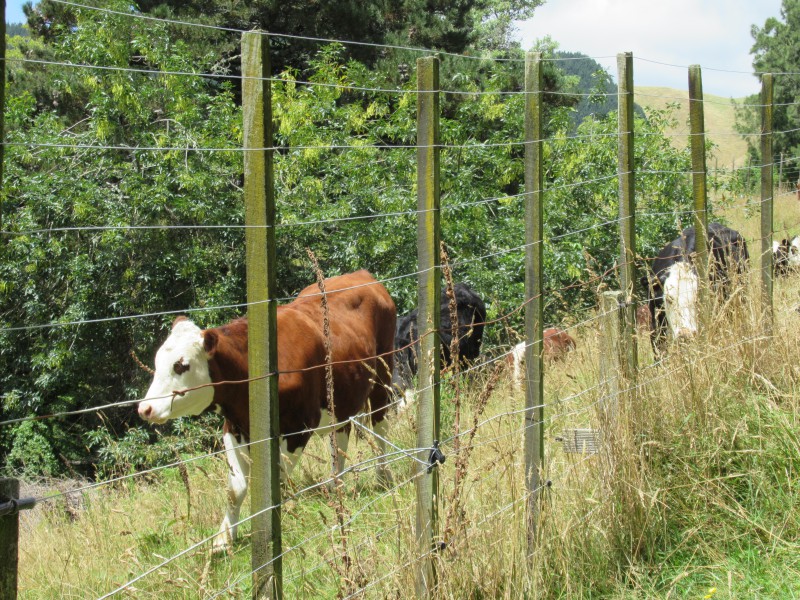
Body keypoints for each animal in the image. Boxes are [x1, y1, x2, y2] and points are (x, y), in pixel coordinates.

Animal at [141, 272, 400, 552]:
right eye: (157, 362)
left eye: (181, 365)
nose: (145, 408)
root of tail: (362, 274)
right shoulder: (234, 427)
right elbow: (236, 489)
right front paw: (224, 539)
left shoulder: (298, 427)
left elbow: (278, 480)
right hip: (341, 397)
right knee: (340, 436)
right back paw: (335, 484)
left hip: (382, 376)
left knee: (380, 428)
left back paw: (383, 476)